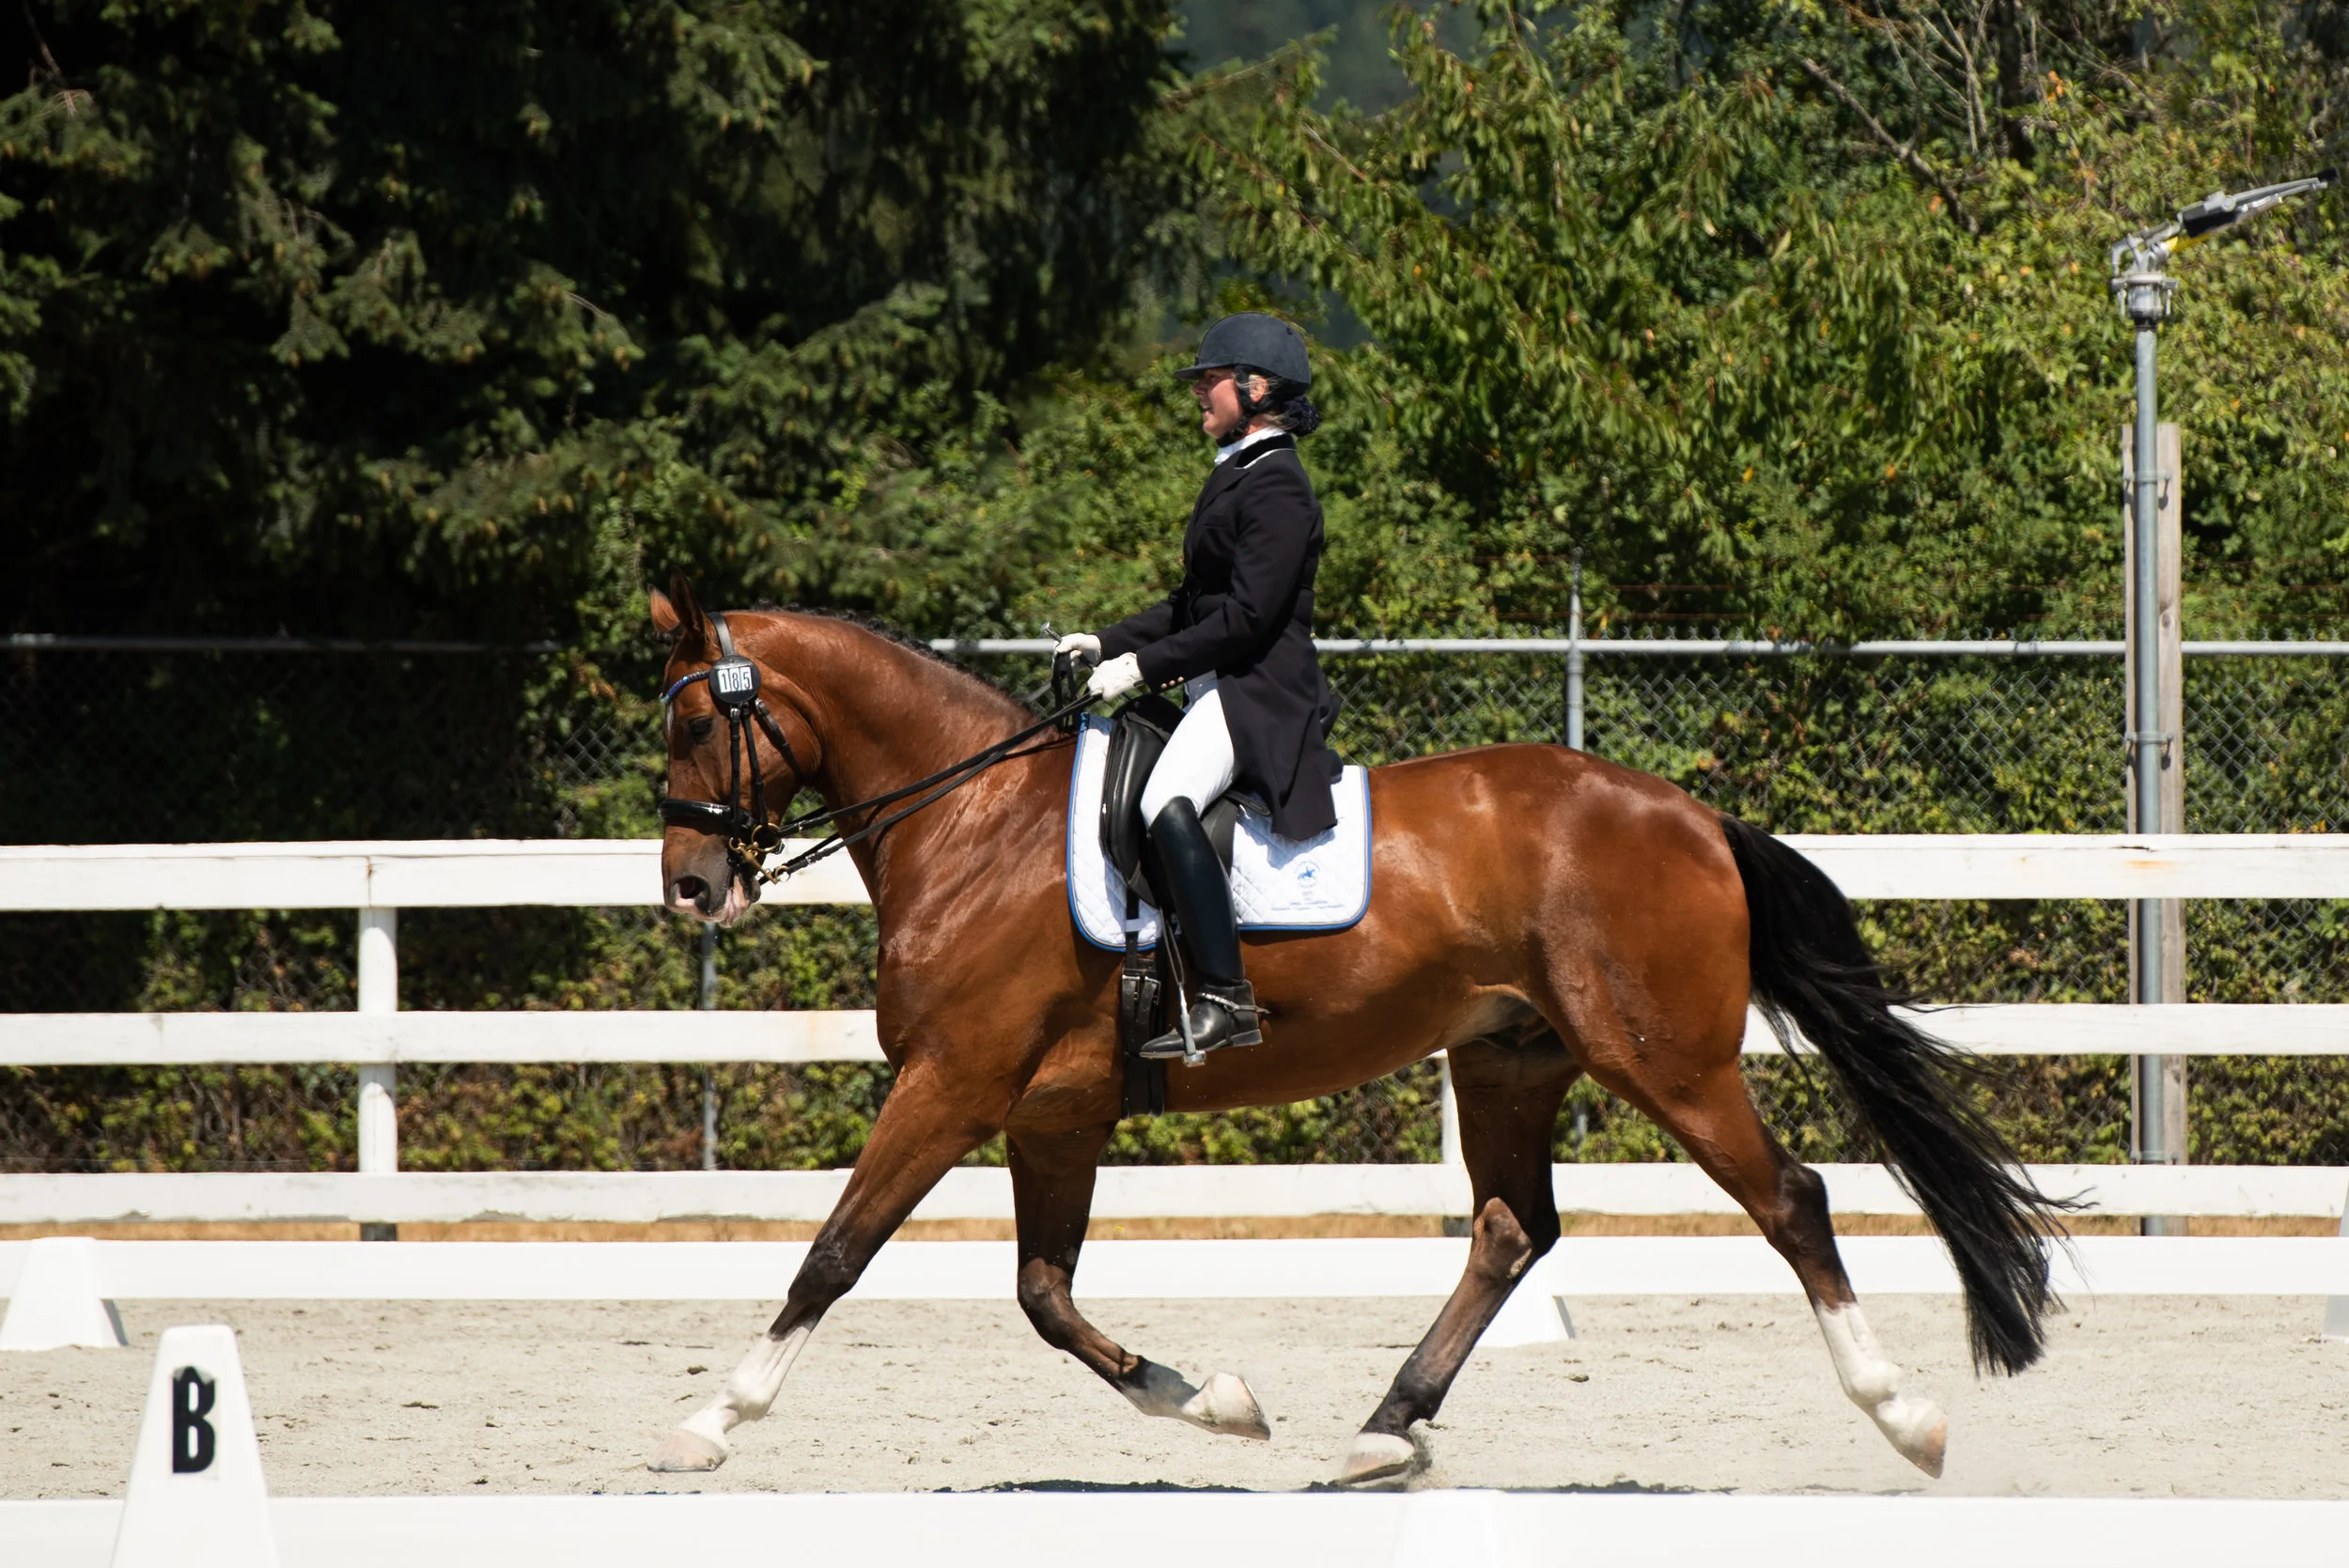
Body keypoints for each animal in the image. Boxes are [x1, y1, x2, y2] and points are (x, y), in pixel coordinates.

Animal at [642, 580, 2060, 1486]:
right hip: (1506, 1059)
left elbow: (834, 1254)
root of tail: (1693, 815)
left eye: (699, 718)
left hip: (1667, 1060)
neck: (974, 826)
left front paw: (711, 1419)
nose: (693, 886)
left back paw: (1907, 1418)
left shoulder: (949, 1085)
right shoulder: (1053, 1115)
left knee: (1791, 1198)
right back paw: (1383, 1429)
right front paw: (1216, 1405)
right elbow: (1045, 1295)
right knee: (1510, 1230)